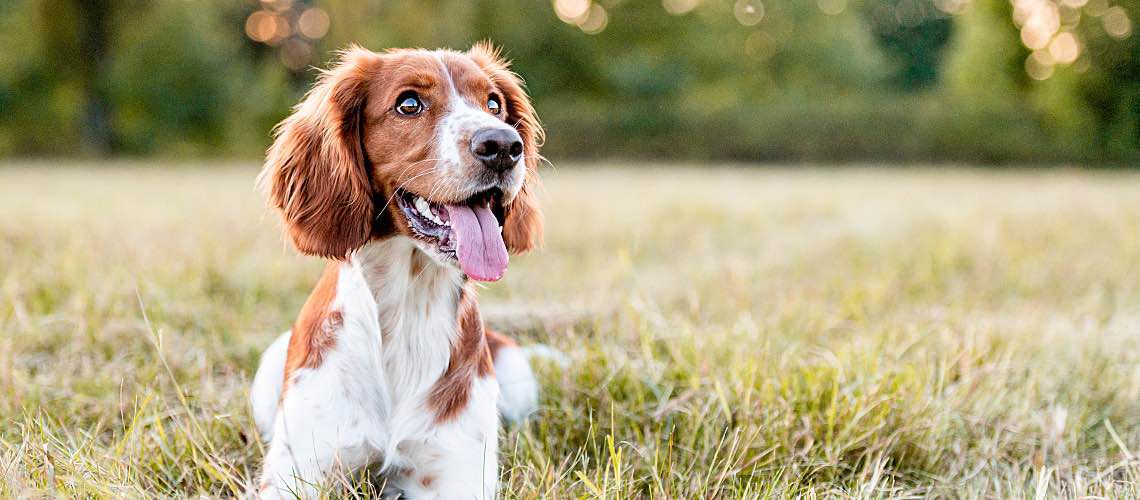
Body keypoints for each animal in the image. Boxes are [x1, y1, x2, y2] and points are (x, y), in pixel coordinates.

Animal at [251, 44, 544, 498]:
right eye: (409, 104)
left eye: (494, 104)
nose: (503, 146)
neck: (409, 306)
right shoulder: (296, 473)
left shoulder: (456, 475)